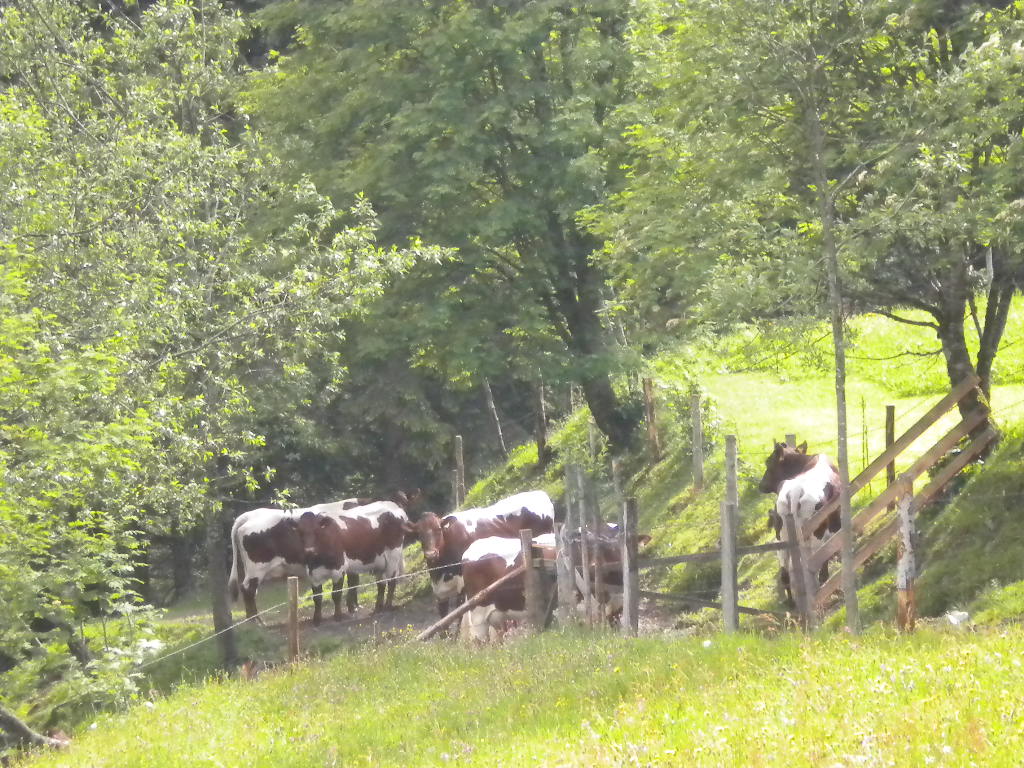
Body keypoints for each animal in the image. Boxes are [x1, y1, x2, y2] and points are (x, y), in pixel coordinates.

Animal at [407, 493, 557, 618]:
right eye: (419, 534)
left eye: (438, 529)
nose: (431, 554)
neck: (440, 570)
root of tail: (541, 493)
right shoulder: (440, 593)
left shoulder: (463, 588)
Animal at [761, 442, 839, 606]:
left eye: (768, 463)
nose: (761, 485)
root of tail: (795, 491)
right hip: (815, 534)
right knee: (815, 563)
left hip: (782, 540)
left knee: (785, 573)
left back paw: (791, 602)